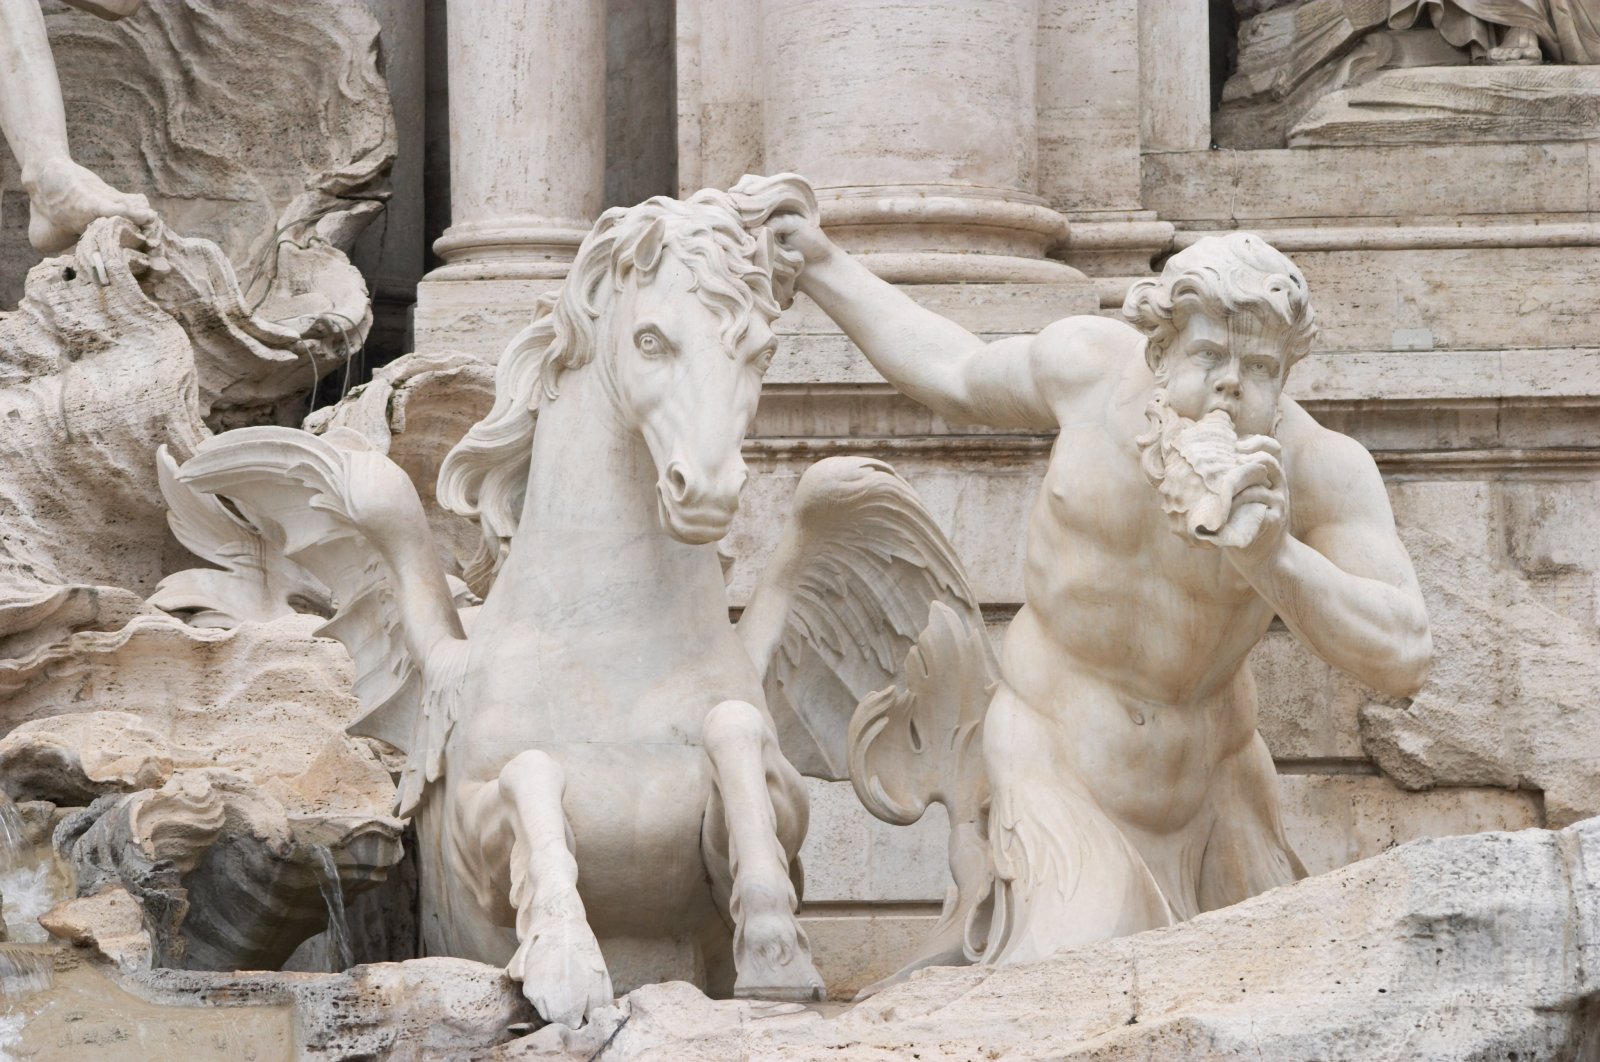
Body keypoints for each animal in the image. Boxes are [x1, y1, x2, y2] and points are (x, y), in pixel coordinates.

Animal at [156, 175, 992, 1030]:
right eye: (651, 340)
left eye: (762, 352)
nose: (708, 490)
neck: (614, 639)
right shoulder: (473, 839)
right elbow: (533, 780)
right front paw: (564, 964)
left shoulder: (780, 813)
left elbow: (735, 738)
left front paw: (776, 952)